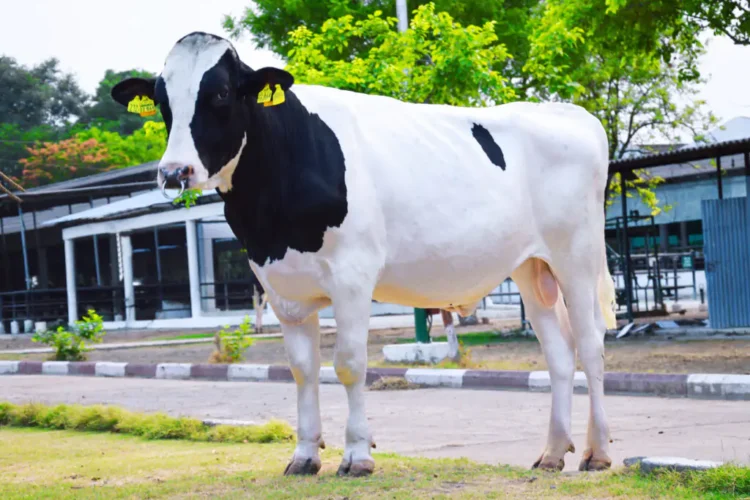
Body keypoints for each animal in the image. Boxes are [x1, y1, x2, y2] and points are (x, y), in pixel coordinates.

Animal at [112, 31, 617, 476]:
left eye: (218, 94)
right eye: (162, 102)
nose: (174, 172)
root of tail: (573, 113)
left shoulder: (352, 276)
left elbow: (350, 364)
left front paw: (357, 455)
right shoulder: (280, 286)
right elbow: (303, 370)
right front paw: (304, 456)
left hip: (577, 256)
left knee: (591, 346)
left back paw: (597, 453)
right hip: (532, 268)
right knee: (559, 352)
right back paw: (552, 453)